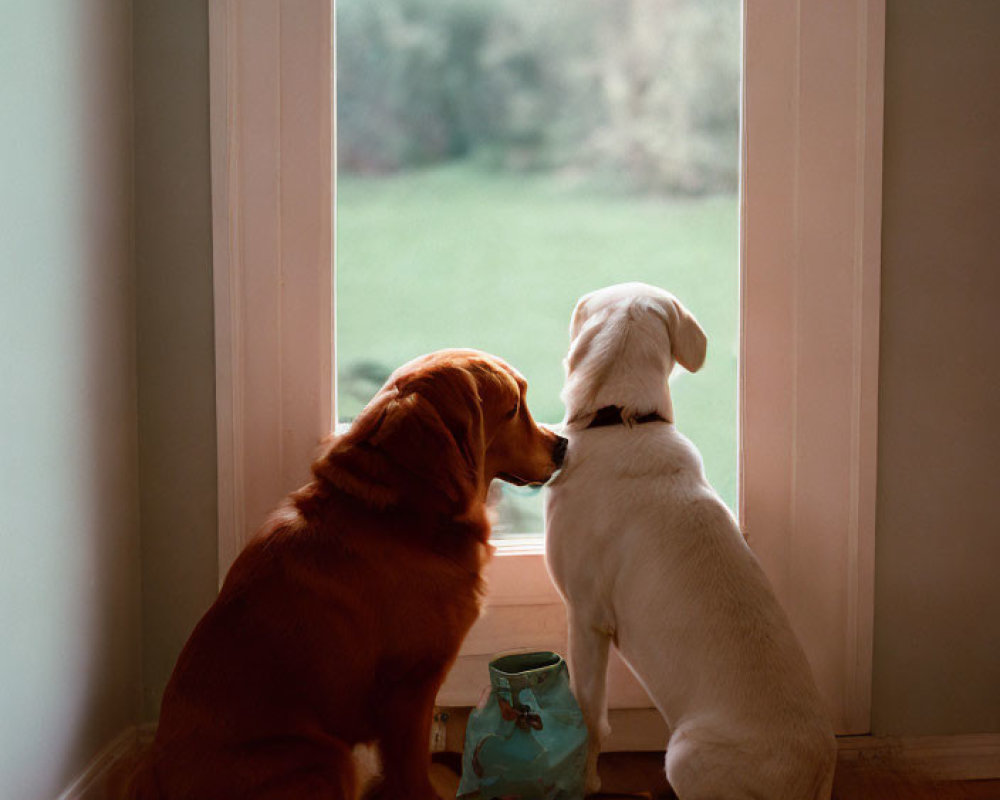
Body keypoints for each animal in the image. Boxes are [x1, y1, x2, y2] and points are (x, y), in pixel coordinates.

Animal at [126, 350, 568, 800]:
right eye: (513, 409)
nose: (562, 444)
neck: (404, 513)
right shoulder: (409, 687)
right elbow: (412, 773)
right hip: (326, 756)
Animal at [544, 284, 832, 796]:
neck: (621, 420)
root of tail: (812, 773)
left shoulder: (586, 617)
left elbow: (590, 716)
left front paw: (584, 780)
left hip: (683, 753)